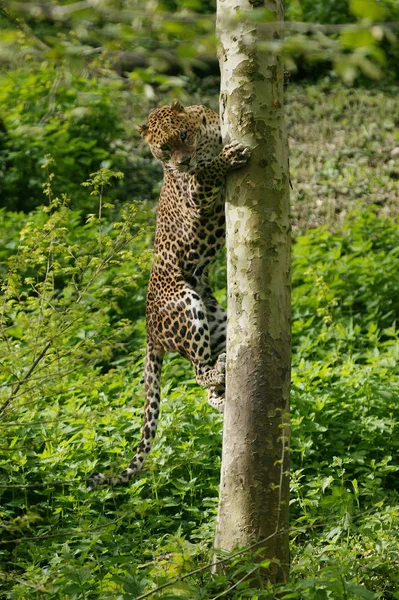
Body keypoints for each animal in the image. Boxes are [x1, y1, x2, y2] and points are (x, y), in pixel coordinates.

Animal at [86, 99, 250, 492]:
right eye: (163, 148)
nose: (182, 161)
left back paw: (224, 380)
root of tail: (148, 330)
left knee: (208, 387)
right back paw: (217, 372)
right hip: (186, 304)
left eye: (183, 136)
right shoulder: (195, 191)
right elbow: (209, 172)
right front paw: (229, 156)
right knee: (197, 371)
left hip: (218, 319)